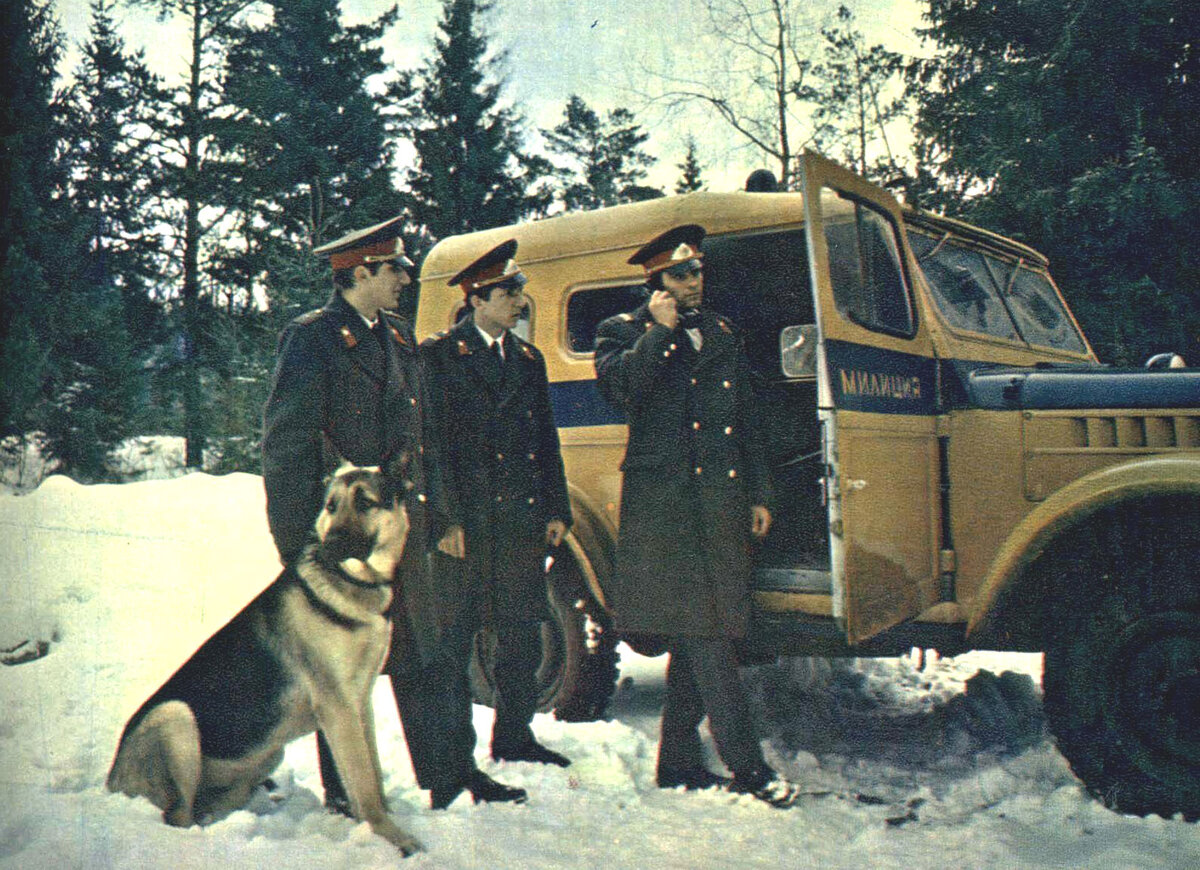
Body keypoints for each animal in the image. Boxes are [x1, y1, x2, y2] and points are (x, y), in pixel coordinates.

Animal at [109, 465, 417, 849]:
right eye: (331, 506)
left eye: (365, 502)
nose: (330, 546)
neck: (352, 583)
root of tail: (111, 783)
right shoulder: (338, 707)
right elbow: (363, 782)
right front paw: (393, 837)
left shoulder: (361, 701)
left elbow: (373, 771)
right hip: (176, 717)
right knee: (177, 816)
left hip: (267, 754)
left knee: (204, 808)